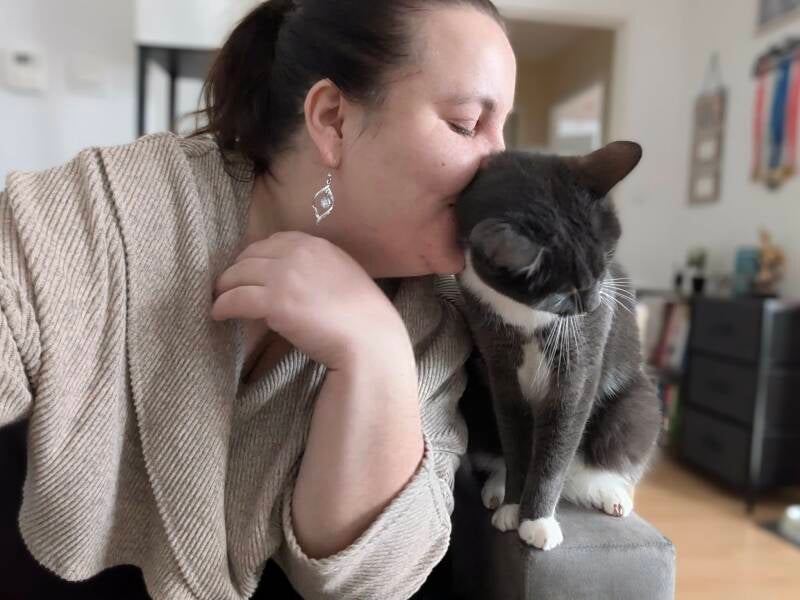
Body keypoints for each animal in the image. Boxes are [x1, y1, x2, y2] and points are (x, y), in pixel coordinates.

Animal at [453, 141, 662, 551]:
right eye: (563, 293)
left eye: (605, 266)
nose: (595, 304)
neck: (526, 318)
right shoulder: (498, 360)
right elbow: (515, 435)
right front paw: (514, 506)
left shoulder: (580, 361)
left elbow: (559, 439)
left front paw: (537, 521)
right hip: (476, 401)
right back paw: (497, 489)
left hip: (636, 406)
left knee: (607, 448)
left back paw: (609, 492)